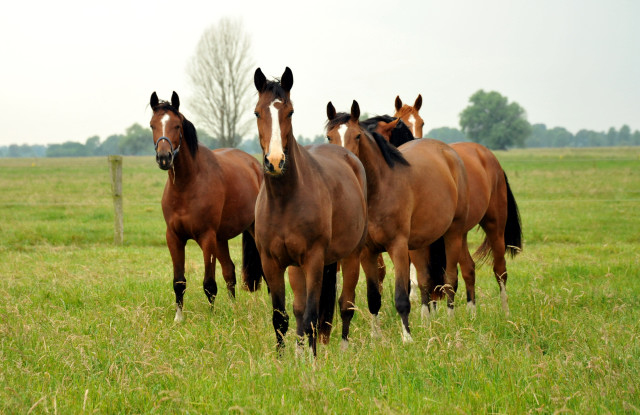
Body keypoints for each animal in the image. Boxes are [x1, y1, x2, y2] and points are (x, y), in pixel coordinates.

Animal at [149, 92, 264, 324]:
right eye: (152, 125)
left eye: (176, 125)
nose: (164, 158)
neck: (187, 185)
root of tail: (254, 165)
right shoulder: (174, 237)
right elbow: (179, 282)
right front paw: (178, 318)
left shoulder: (206, 237)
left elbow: (209, 283)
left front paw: (211, 317)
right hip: (221, 239)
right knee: (230, 271)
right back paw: (234, 309)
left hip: (252, 231)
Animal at [252, 66, 368, 356]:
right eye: (257, 112)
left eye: (290, 112)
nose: (275, 162)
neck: (284, 200)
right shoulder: (271, 263)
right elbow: (282, 317)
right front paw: (283, 360)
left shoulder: (314, 260)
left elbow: (313, 316)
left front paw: (312, 362)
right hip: (298, 268)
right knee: (299, 310)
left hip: (351, 255)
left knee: (345, 304)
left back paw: (342, 350)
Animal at [328, 101, 468, 344]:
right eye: (329, 137)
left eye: (357, 136)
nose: (344, 161)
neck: (379, 190)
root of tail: (448, 153)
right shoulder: (367, 252)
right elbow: (374, 297)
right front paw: (375, 336)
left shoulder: (398, 247)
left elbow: (402, 296)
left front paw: (407, 338)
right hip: (421, 243)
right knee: (425, 280)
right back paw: (427, 321)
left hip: (453, 233)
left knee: (450, 279)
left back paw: (450, 322)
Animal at [392, 94, 524, 316]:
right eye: (397, 122)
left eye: (421, 122)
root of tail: (486, 154)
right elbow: (425, 278)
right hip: (461, 233)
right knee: (469, 269)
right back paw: (472, 313)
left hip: (494, 226)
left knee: (500, 270)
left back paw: (505, 313)